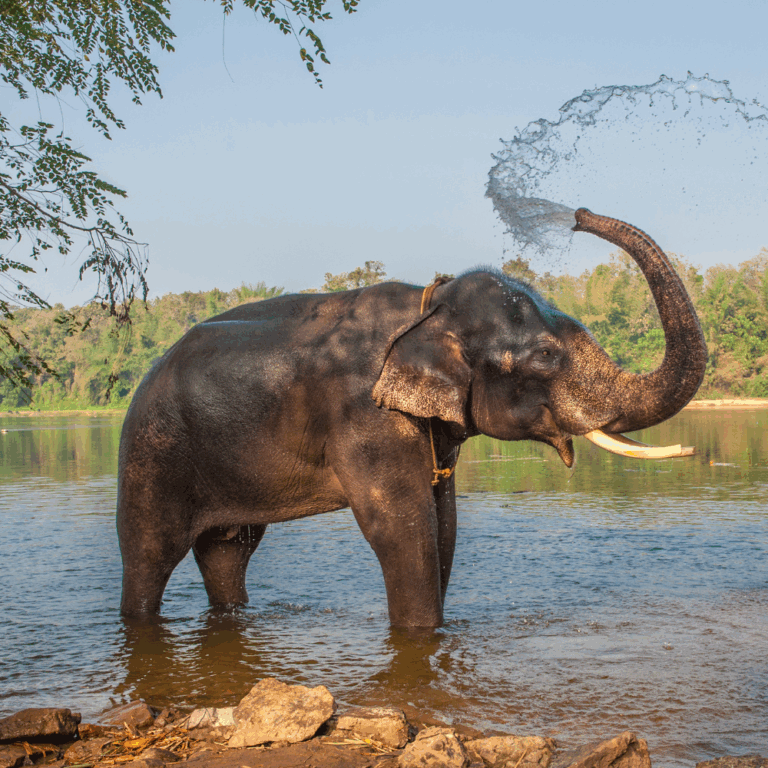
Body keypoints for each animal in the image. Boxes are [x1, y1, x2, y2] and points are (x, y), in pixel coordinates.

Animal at [117, 209, 707, 627]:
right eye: (545, 355)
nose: (579, 215)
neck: (429, 305)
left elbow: (444, 523)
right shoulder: (365, 414)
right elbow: (402, 527)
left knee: (227, 551)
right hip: (152, 449)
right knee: (149, 552)